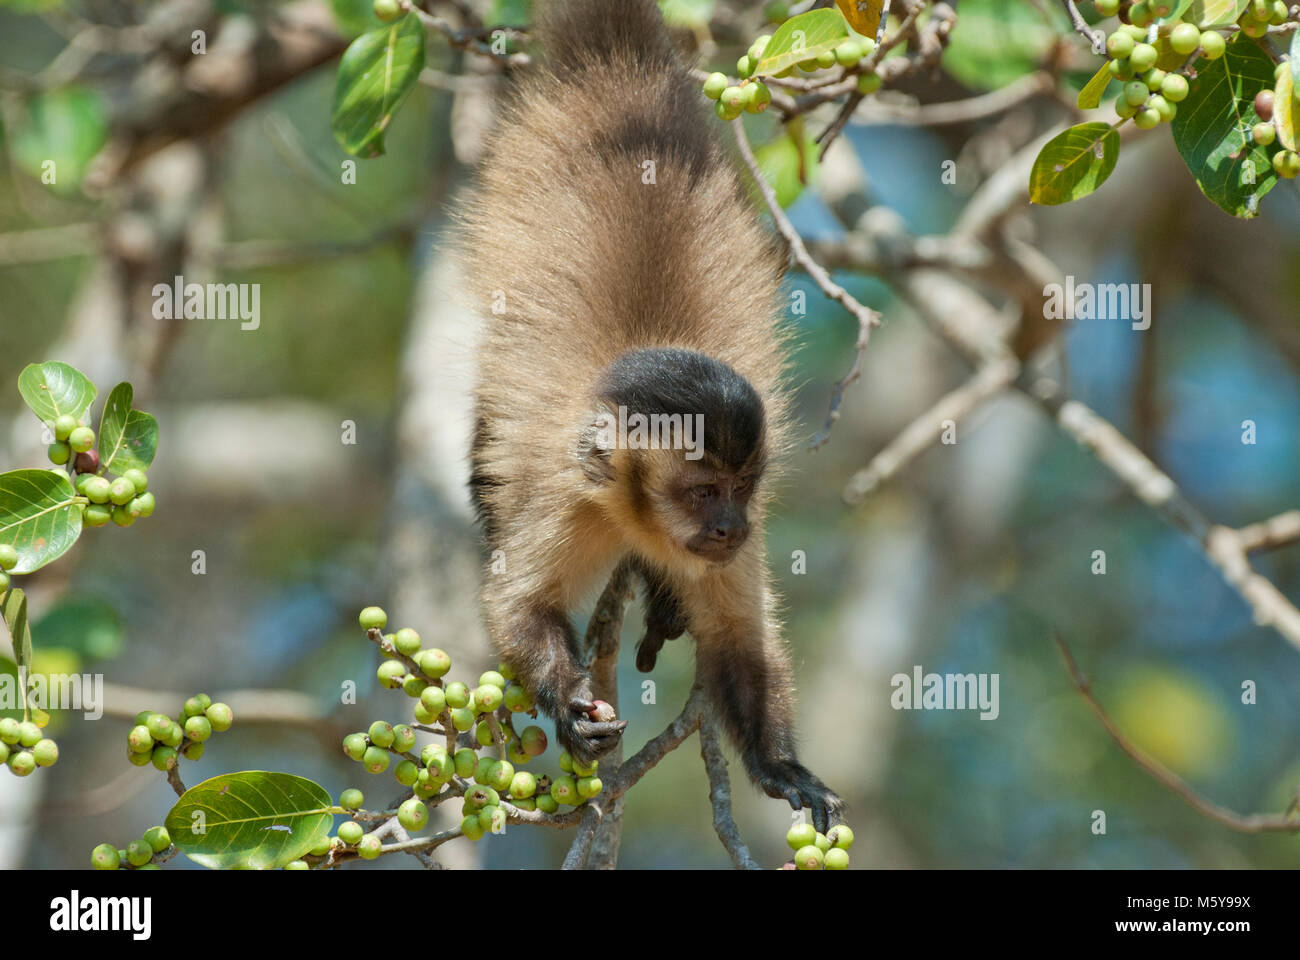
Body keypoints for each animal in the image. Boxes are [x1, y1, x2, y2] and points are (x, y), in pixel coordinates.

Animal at [462, 0, 847, 832]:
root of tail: (616, 76)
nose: (731, 527)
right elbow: (516, 602)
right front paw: (572, 708)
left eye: (742, 490)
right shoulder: (565, 493)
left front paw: (779, 764)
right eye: (703, 493)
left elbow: (739, 638)